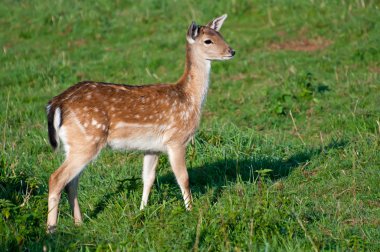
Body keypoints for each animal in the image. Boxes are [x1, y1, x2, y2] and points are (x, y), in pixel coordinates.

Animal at [45, 13, 235, 232]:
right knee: (56, 178)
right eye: (208, 40)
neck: (190, 100)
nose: (231, 51)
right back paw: (51, 229)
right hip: (87, 140)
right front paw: (191, 211)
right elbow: (184, 178)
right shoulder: (176, 139)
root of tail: (57, 103)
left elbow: (148, 178)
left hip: (75, 143)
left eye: (221, 34)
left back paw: (79, 222)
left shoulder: (152, 147)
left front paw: (142, 211)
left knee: (72, 182)